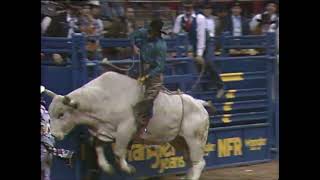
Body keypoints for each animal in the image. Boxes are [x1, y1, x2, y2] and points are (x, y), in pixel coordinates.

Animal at [45, 71, 211, 180]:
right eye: (50, 114)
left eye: (61, 114)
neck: (101, 98)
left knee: (199, 163)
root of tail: (199, 104)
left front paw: (128, 169)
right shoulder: (103, 131)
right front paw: (107, 167)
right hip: (180, 140)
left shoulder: (126, 129)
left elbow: (119, 151)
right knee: (191, 161)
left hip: (195, 140)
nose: (53, 134)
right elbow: (98, 147)